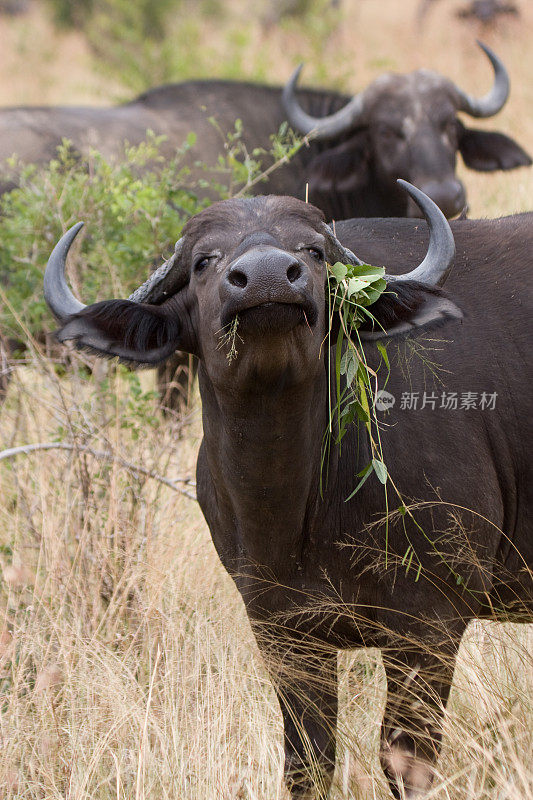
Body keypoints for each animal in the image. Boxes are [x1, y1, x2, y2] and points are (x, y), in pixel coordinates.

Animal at [43, 189, 528, 800]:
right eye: (203, 261)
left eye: (313, 251)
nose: (270, 276)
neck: (295, 505)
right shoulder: (283, 636)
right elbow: (308, 763)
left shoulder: (431, 624)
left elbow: (404, 762)